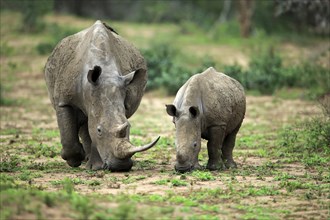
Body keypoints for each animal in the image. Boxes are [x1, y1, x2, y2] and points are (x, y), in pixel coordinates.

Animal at [44, 20, 160, 171]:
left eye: (129, 127)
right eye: (99, 130)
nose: (120, 167)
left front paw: (95, 167)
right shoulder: (64, 101)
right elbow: (70, 130)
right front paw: (75, 160)